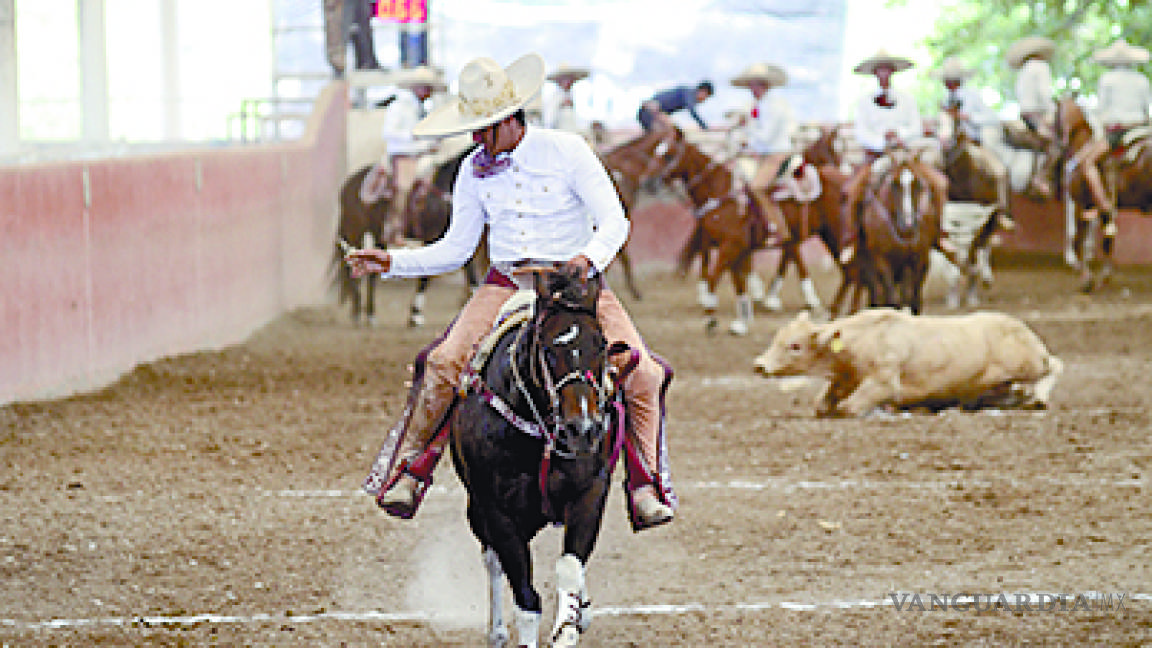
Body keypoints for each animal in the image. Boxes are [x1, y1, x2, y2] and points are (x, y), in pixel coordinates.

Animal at [449, 268, 626, 645]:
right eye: (546, 348)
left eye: (602, 344)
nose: (583, 428)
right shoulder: (496, 508)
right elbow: (525, 595)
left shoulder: (591, 492)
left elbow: (570, 566)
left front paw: (570, 625)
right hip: (478, 510)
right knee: (492, 560)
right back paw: (497, 631)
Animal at [755, 306, 1059, 415]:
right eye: (777, 338)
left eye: (795, 345)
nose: (760, 365)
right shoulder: (845, 378)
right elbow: (823, 404)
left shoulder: (884, 382)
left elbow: (848, 407)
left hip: (1031, 362)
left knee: (1054, 367)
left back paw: (1037, 399)